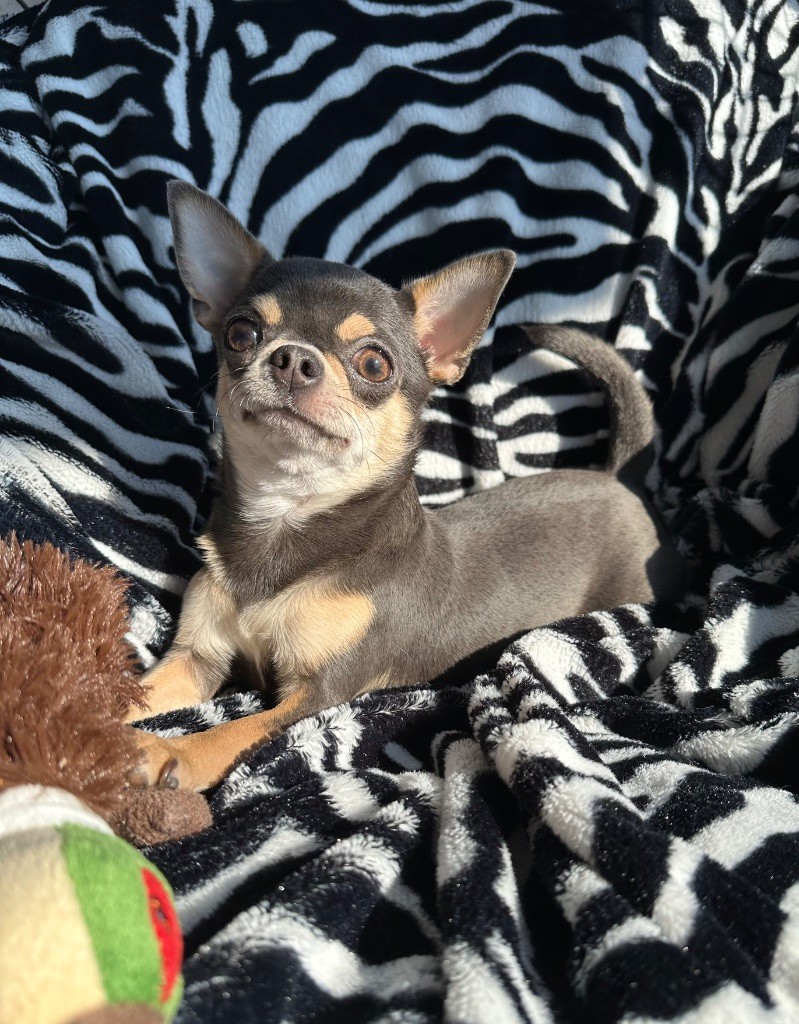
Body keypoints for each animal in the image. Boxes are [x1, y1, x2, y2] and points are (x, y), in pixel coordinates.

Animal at [129, 181, 684, 792]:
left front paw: (167, 753)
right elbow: (131, 691)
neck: (286, 517)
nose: (294, 358)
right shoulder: (195, 659)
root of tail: (618, 476)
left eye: (374, 364)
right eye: (241, 334)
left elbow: (233, 733)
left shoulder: (315, 695)